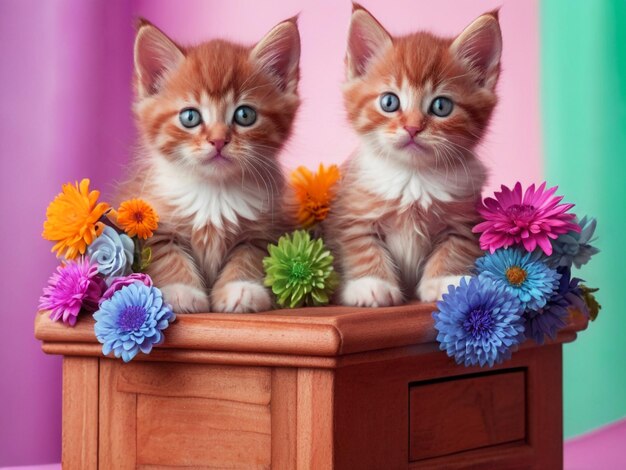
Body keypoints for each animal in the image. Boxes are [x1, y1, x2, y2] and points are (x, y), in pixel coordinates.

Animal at [118, 17, 302, 312]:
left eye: (245, 115)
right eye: (190, 117)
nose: (218, 140)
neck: (214, 192)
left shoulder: (265, 229)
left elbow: (249, 256)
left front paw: (241, 289)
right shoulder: (150, 223)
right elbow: (166, 254)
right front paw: (180, 292)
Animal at [324, 5, 500, 306]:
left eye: (441, 106)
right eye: (389, 102)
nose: (413, 127)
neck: (413, 176)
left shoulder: (463, 218)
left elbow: (455, 247)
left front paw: (446, 281)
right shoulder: (352, 213)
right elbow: (360, 246)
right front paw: (371, 284)